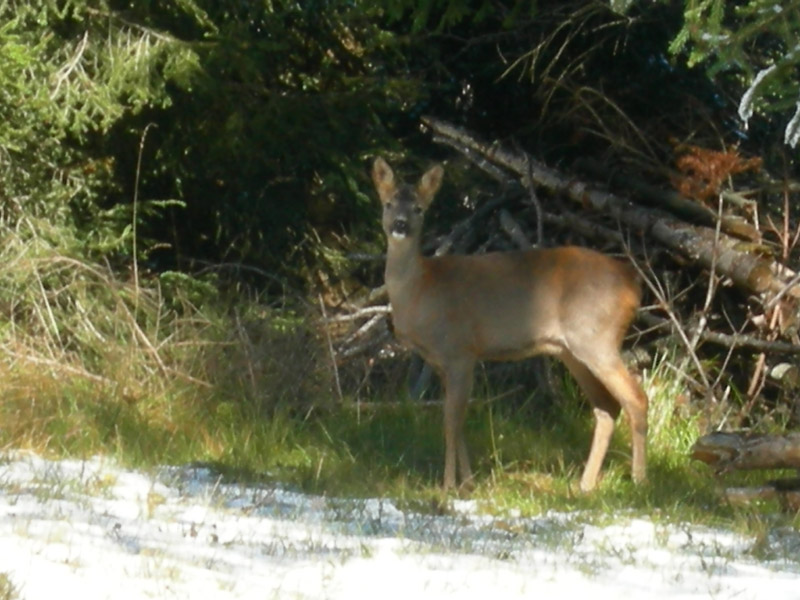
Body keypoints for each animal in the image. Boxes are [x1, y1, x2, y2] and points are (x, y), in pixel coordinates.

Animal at [376, 155, 648, 492]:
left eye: (419, 208)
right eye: (388, 203)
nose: (399, 225)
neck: (421, 290)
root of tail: (632, 283)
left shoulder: (460, 350)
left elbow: (451, 422)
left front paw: (449, 485)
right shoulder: (443, 362)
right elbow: (458, 420)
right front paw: (468, 481)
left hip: (598, 339)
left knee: (636, 398)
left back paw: (639, 480)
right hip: (573, 350)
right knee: (608, 406)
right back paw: (585, 485)